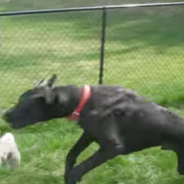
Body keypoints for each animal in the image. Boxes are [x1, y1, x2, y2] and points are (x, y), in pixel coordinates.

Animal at [2, 74, 184, 183]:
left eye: (21, 104)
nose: (4, 115)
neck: (81, 100)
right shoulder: (88, 134)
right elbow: (71, 155)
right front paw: (67, 174)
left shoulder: (112, 147)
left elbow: (80, 168)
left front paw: (72, 177)